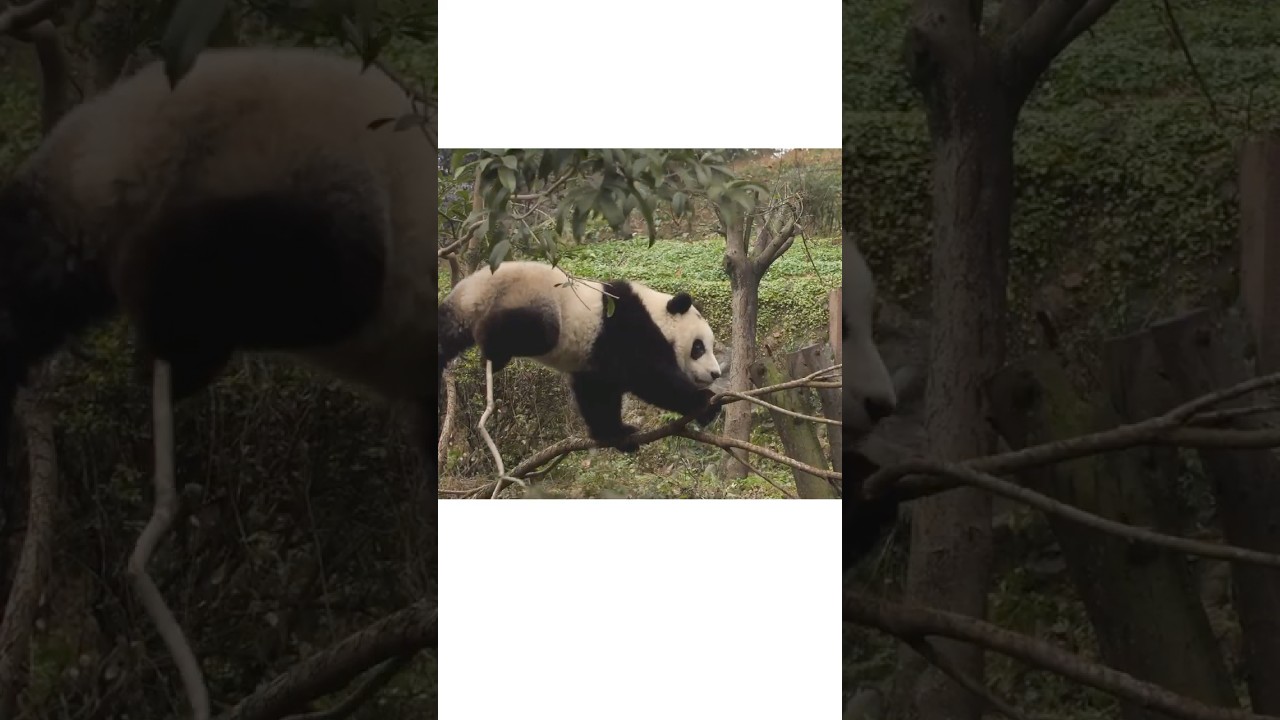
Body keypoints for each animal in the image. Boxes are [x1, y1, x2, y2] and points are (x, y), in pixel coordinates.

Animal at [438, 260, 723, 451]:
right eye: (699, 347)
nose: (715, 373)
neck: (656, 313)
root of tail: (471, 288)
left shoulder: (594, 363)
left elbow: (596, 394)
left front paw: (617, 434)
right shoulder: (626, 327)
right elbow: (650, 376)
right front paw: (705, 404)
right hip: (530, 299)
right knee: (533, 330)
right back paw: (492, 348)